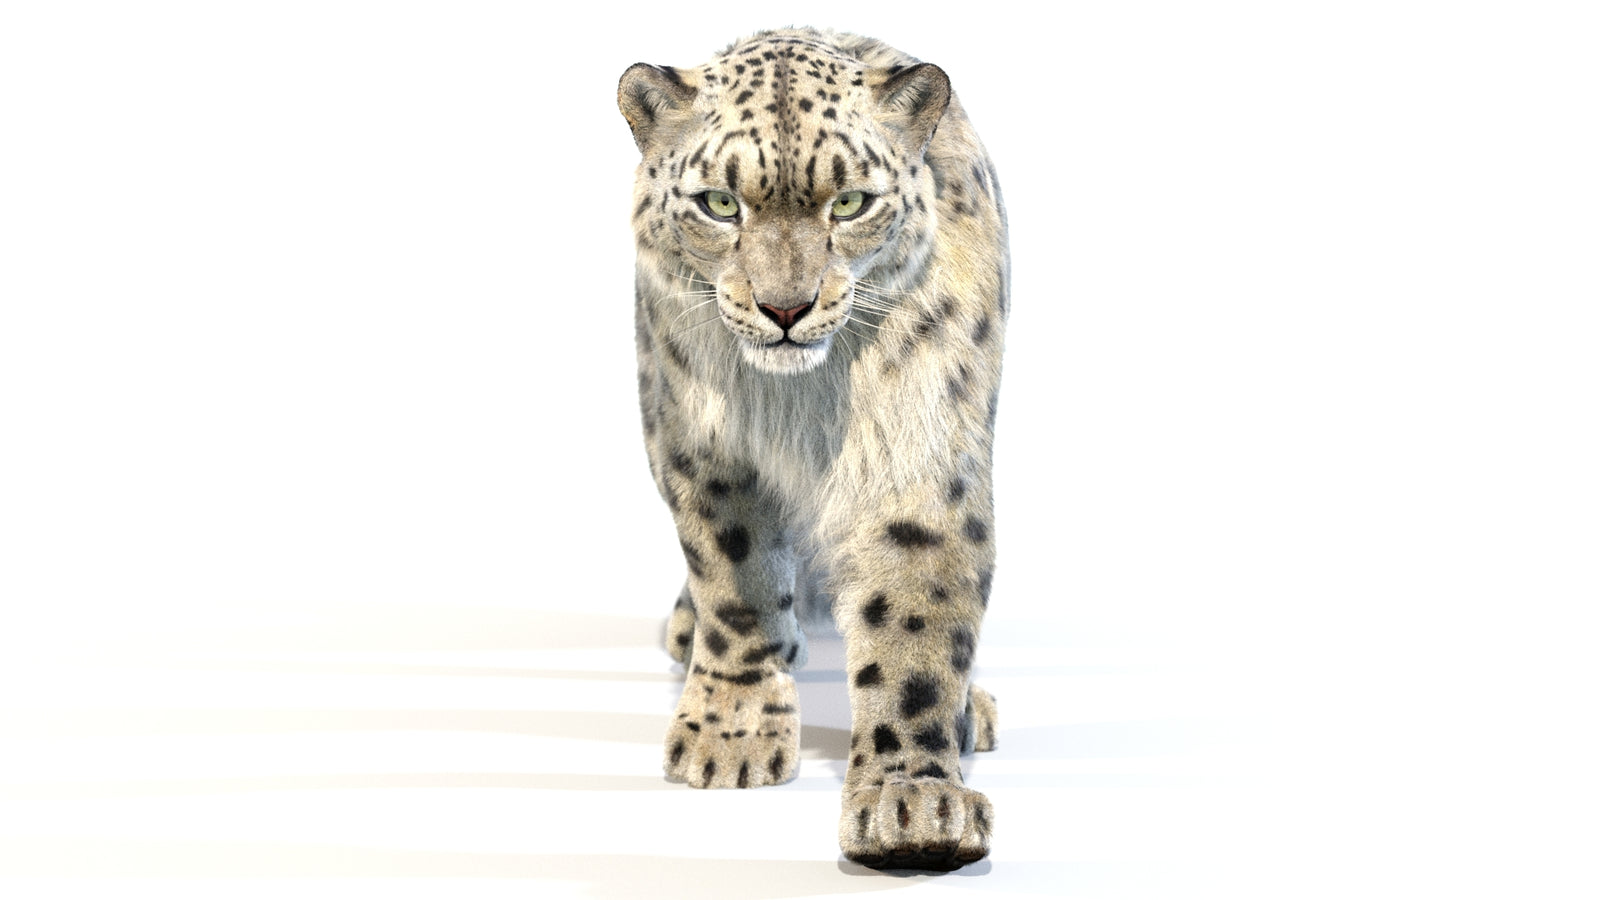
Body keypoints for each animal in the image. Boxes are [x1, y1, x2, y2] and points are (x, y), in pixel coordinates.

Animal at [618, 27, 1008, 870]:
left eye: (851, 201)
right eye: (719, 202)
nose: (786, 308)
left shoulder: (916, 452)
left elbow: (914, 622)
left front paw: (912, 805)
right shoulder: (703, 448)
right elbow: (737, 584)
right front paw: (729, 734)